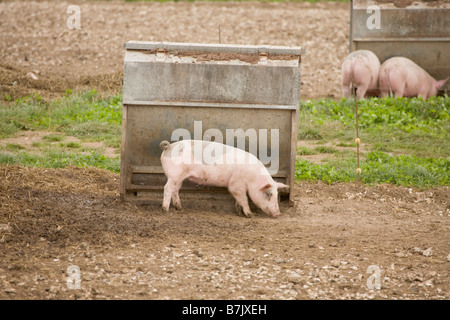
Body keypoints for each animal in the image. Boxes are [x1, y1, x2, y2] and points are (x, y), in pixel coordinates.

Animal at [160, 139, 290, 218]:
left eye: (277, 194)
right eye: (268, 194)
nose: (278, 213)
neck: (253, 178)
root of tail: (169, 146)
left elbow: (239, 200)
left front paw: (239, 212)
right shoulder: (236, 184)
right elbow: (244, 199)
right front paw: (250, 215)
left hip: (179, 177)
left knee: (175, 189)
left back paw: (179, 208)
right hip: (174, 175)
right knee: (167, 188)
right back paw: (165, 210)